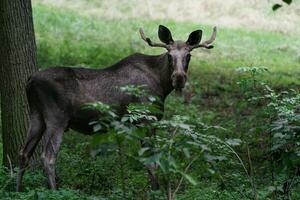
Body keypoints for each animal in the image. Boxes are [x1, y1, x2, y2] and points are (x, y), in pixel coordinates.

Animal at [16, 25, 216, 192]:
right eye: (169, 55)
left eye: (188, 56)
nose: (179, 78)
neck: (162, 85)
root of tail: (29, 81)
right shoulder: (146, 118)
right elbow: (151, 161)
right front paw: (155, 190)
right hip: (56, 118)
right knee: (48, 156)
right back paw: (54, 191)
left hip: (36, 116)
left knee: (24, 153)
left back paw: (18, 190)